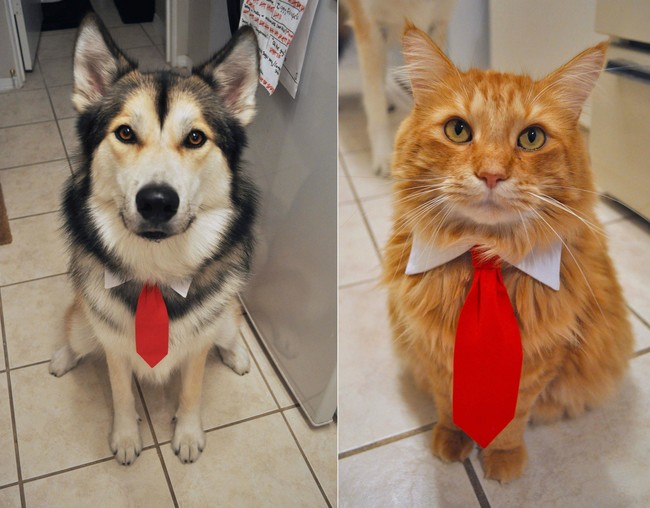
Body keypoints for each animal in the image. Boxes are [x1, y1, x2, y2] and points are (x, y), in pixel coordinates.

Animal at [49, 12, 260, 464]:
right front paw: (127, 436)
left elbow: (191, 391)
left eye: (196, 137)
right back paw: (63, 357)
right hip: (84, 325)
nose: (158, 201)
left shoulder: (198, 347)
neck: (157, 269)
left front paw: (188, 434)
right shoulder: (113, 347)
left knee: (230, 328)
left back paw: (237, 355)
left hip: (224, 319)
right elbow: (122, 394)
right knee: (76, 334)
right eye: (126, 133)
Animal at [382, 23, 632, 482]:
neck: (487, 256)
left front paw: (502, 459)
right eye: (458, 131)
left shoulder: (540, 362)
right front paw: (453, 440)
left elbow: (513, 419)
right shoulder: (433, 352)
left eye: (532, 138)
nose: (492, 174)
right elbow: (449, 404)